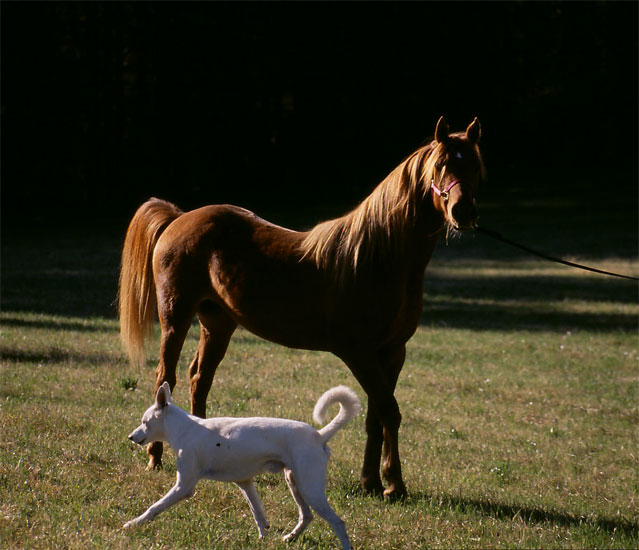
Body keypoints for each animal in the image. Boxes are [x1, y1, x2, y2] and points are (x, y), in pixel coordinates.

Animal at [118, 117, 484, 500]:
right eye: (441, 164)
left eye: (475, 165)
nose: (463, 212)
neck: (376, 259)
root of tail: (179, 217)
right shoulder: (359, 353)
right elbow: (389, 410)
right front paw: (394, 485)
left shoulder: (392, 352)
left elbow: (377, 416)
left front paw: (372, 482)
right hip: (175, 319)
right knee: (166, 377)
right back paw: (155, 456)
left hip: (217, 324)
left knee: (199, 379)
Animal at [124, 382, 361, 549]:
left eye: (145, 422)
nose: (130, 437)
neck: (185, 428)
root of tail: (320, 436)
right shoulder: (245, 483)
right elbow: (258, 515)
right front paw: (263, 537)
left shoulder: (184, 487)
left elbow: (155, 507)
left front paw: (133, 524)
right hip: (295, 483)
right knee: (307, 516)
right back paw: (290, 538)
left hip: (310, 488)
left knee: (338, 522)